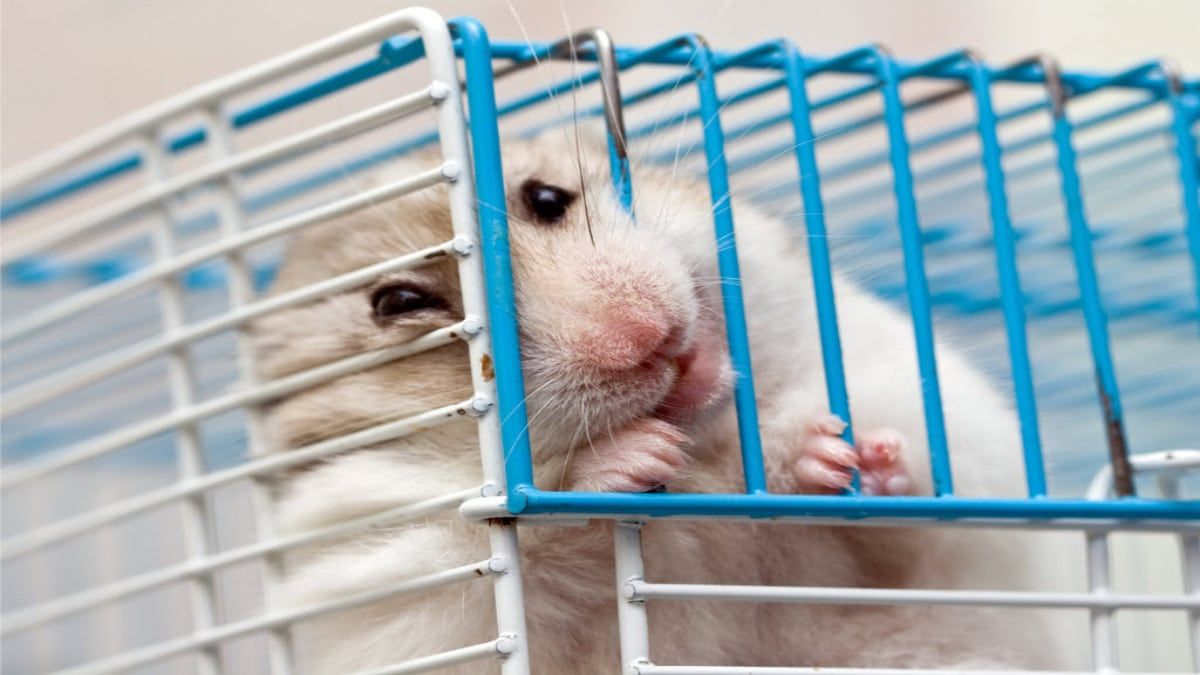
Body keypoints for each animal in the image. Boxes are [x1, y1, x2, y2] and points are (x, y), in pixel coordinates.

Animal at [258, 133, 1094, 667]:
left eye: (547, 197)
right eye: (400, 302)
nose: (646, 336)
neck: (711, 454)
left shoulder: (941, 428)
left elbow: (923, 491)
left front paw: (834, 450)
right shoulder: (393, 587)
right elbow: (536, 533)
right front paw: (636, 456)